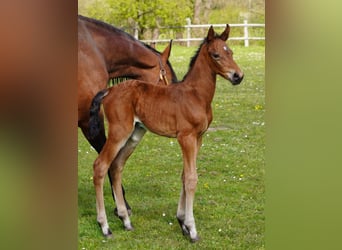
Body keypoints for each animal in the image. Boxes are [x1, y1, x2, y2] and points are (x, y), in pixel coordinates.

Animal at [88, 24, 243, 241]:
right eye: (216, 55)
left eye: (231, 52)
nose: (238, 76)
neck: (196, 95)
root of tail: (109, 91)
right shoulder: (186, 137)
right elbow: (191, 178)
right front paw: (191, 229)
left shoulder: (198, 138)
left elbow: (184, 175)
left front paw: (182, 222)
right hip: (119, 132)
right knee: (101, 166)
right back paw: (105, 226)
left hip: (135, 134)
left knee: (116, 166)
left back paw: (126, 221)